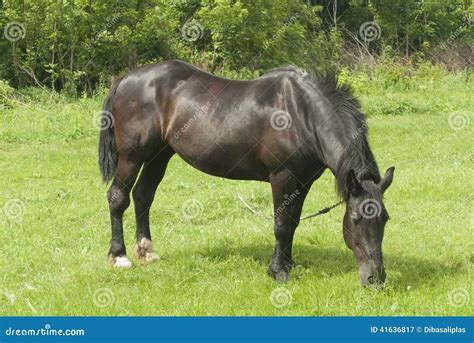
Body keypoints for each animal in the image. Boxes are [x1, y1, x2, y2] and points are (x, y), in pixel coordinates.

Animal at [98, 60, 394, 286]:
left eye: (385, 219)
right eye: (356, 219)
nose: (376, 279)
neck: (303, 113)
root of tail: (126, 79)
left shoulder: (303, 180)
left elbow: (293, 222)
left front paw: (288, 262)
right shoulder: (283, 177)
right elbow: (281, 225)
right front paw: (278, 271)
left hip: (159, 155)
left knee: (143, 196)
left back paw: (146, 252)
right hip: (132, 157)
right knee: (118, 198)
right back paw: (120, 256)